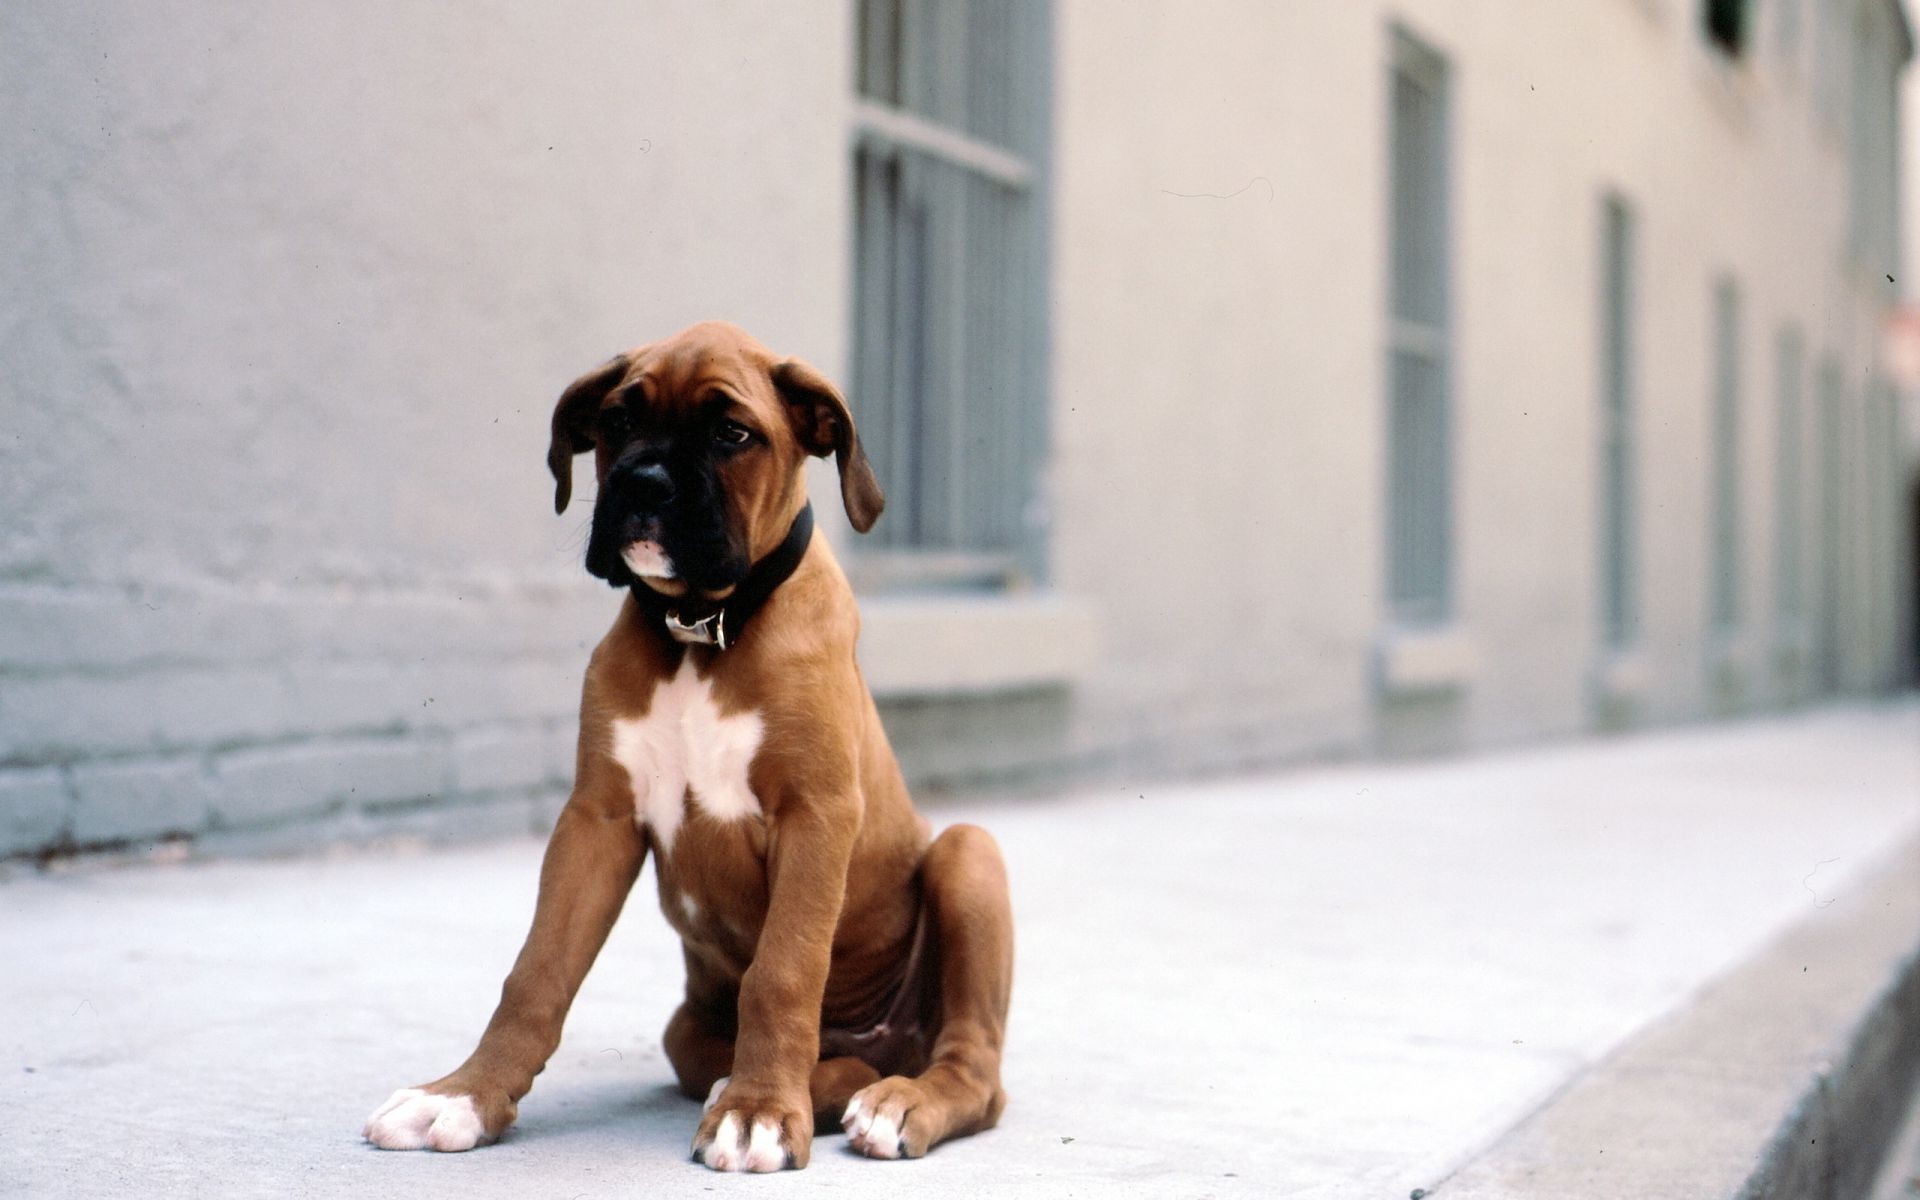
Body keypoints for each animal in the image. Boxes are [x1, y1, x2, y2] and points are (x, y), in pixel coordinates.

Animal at [364, 320, 1013, 1167]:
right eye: (617, 421)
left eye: (733, 434)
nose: (644, 483)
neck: (700, 630)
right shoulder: (597, 820)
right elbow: (536, 972)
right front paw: (462, 1096)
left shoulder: (816, 814)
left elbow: (783, 970)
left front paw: (760, 1112)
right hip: (688, 1023)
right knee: (786, 1056)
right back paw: (817, 1083)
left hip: (969, 856)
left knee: (974, 1069)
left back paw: (892, 1104)